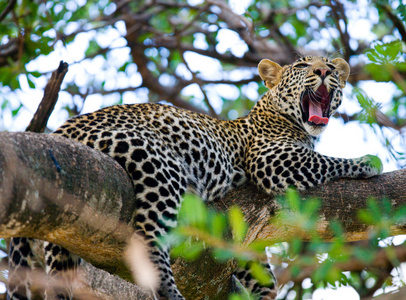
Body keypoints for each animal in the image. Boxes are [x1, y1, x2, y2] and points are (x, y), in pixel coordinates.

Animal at [6, 55, 382, 298]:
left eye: (330, 66)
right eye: (303, 66)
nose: (324, 70)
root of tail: (60, 130)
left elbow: (259, 269)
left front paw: (259, 286)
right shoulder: (271, 159)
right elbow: (328, 161)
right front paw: (368, 161)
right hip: (156, 164)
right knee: (149, 240)